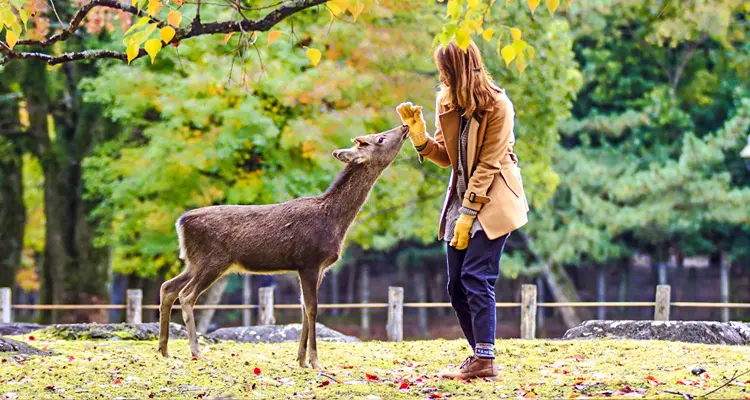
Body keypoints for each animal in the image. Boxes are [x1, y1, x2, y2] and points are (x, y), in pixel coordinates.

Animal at [158, 124, 410, 369]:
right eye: (379, 138)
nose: (404, 126)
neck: (335, 220)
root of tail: (181, 222)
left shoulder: (318, 268)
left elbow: (303, 308)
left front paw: (300, 360)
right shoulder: (309, 261)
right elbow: (312, 309)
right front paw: (315, 362)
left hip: (193, 262)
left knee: (168, 287)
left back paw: (164, 350)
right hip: (213, 260)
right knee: (186, 295)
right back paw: (196, 352)